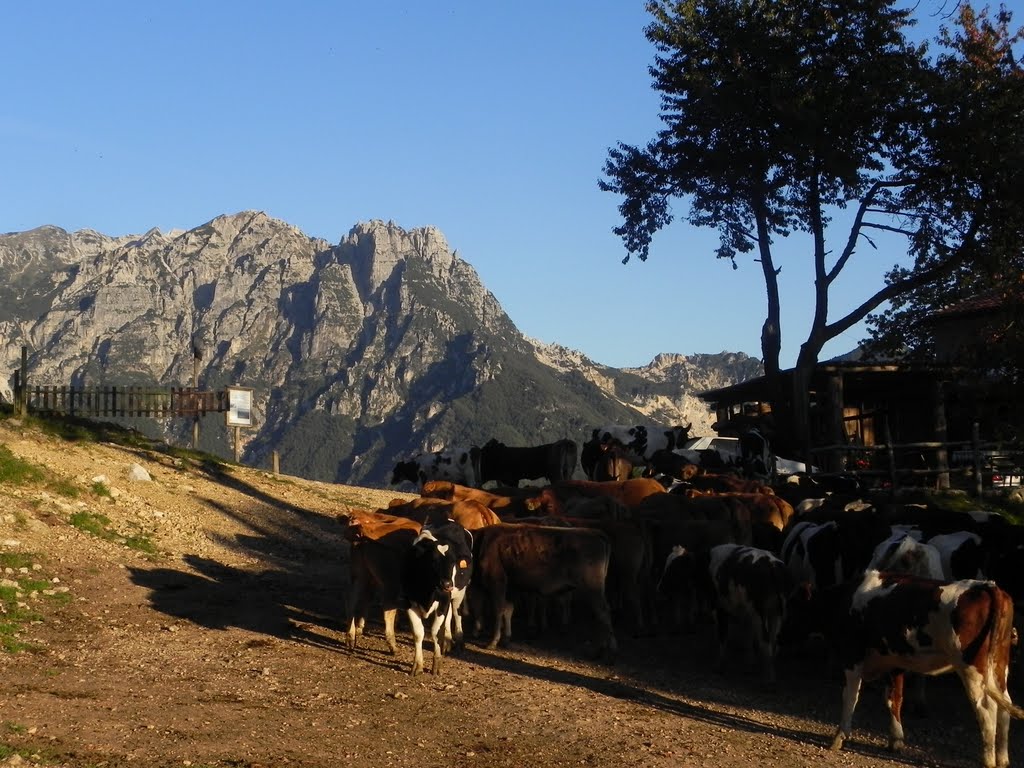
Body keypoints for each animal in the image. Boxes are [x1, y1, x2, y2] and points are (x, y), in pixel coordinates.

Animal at [401, 520, 477, 675]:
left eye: (453, 562)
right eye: (433, 561)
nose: (447, 584)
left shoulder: (443, 601)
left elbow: (435, 632)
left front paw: (436, 664)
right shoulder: (410, 602)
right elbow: (418, 633)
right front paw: (417, 665)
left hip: (459, 593)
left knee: (456, 614)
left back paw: (459, 641)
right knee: (449, 618)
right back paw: (447, 641)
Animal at [468, 524, 614, 663]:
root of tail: (594, 532)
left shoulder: (497, 583)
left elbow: (498, 611)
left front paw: (492, 642)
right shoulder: (511, 588)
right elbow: (508, 610)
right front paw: (506, 639)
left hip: (592, 590)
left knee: (603, 615)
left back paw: (608, 654)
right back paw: (600, 653)